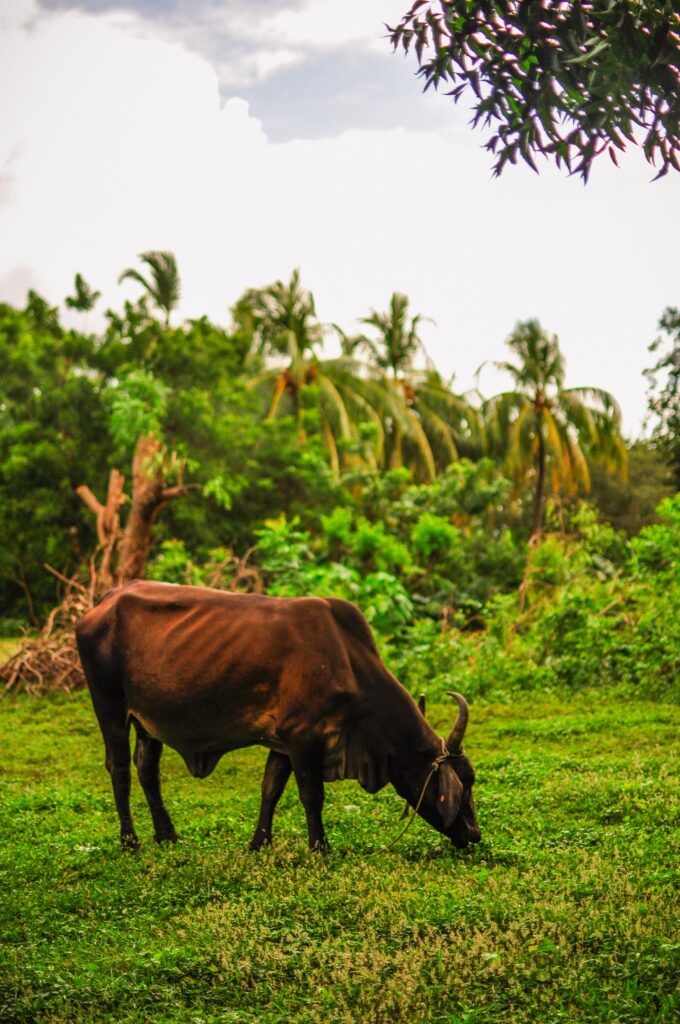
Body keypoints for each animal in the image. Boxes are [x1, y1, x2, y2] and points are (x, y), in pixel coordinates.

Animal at [75, 581, 483, 851]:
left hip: (149, 721)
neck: (347, 659)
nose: (475, 835)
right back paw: (130, 841)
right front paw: (320, 847)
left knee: (147, 768)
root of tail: (104, 601)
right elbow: (312, 795)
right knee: (120, 769)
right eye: (464, 785)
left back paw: (167, 836)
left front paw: (259, 844)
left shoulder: (283, 743)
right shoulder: (303, 738)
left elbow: (270, 790)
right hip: (109, 706)